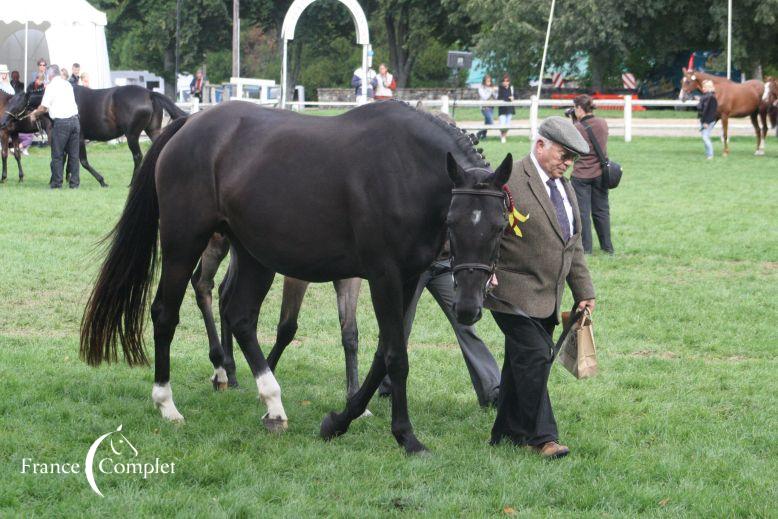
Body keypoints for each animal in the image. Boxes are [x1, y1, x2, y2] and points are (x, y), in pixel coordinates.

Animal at [0, 86, 186, 188]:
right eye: (9, 101)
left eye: (18, 104)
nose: (3, 122)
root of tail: (149, 93)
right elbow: (69, 159)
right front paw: (66, 179)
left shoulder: (79, 137)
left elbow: (81, 161)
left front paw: (101, 180)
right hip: (153, 131)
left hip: (132, 135)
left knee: (137, 156)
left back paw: (132, 183)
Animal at [82, 99, 512, 452]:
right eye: (453, 221)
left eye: (499, 226)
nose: (469, 307)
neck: (404, 169)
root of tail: (189, 123)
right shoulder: (383, 276)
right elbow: (395, 356)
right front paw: (406, 436)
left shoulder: (407, 279)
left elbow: (381, 353)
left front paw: (339, 421)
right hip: (184, 243)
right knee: (166, 313)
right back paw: (167, 403)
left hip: (253, 254)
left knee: (240, 316)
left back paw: (272, 402)